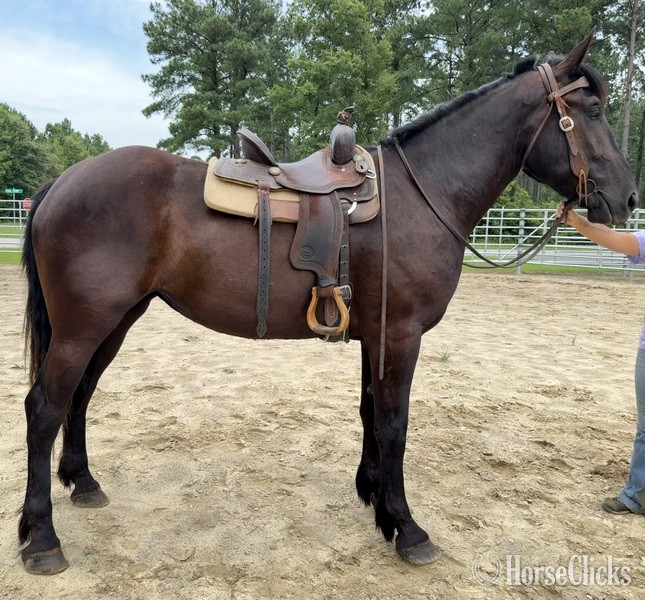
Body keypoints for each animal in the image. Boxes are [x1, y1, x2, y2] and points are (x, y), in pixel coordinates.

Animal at [17, 31, 638, 574]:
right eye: (593, 111)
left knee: (79, 396)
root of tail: (60, 183)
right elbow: (394, 424)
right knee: (44, 408)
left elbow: (370, 413)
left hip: (116, 321)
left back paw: (83, 483)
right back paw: (41, 539)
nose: (628, 197)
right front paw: (407, 528)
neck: (422, 195)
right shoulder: (401, 335)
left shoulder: (376, 334)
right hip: (83, 327)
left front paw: (374, 498)